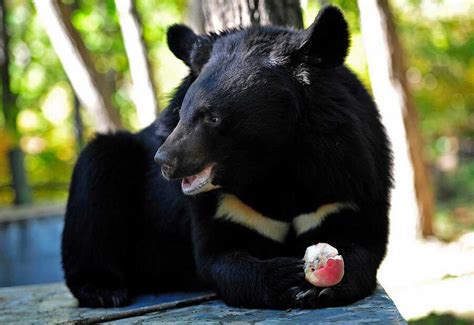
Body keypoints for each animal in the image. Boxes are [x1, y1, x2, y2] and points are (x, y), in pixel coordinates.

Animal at [62, 5, 392, 308]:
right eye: (182, 113)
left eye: (212, 118)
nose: (164, 160)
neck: (273, 168)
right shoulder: (221, 206)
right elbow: (218, 257)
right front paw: (284, 276)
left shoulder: (349, 175)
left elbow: (365, 242)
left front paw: (325, 284)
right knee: (95, 181)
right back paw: (103, 289)